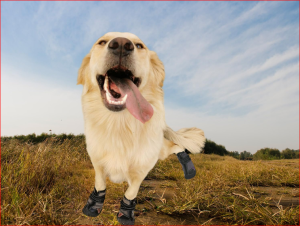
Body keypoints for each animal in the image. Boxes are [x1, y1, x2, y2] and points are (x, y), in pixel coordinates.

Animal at [76, 31, 205, 224]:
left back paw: (188, 167)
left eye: (139, 46)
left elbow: (132, 190)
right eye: (102, 42)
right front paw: (94, 205)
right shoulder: (96, 159)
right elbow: (100, 182)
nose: (122, 45)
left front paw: (125, 213)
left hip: (160, 150)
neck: (119, 125)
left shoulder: (143, 167)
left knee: (177, 146)